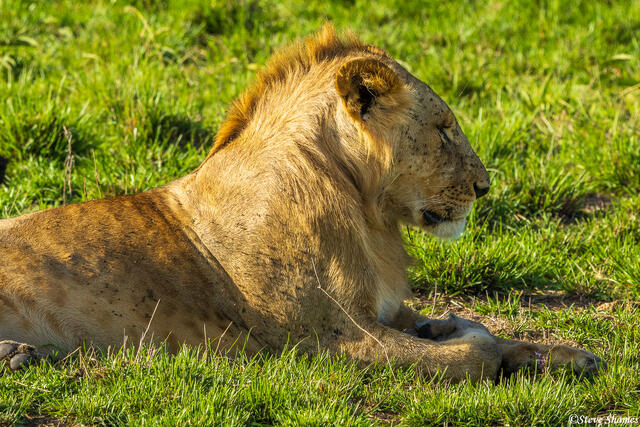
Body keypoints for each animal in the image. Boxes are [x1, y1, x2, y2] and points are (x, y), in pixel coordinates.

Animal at [0, 25, 603, 381]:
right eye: (444, 128)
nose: (483, 187)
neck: (367, 213)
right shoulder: (328, 340)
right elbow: (476, 351)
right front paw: (455, 330)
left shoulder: (383, 311)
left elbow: (503, 338)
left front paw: (571, 356)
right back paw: (17, 353)